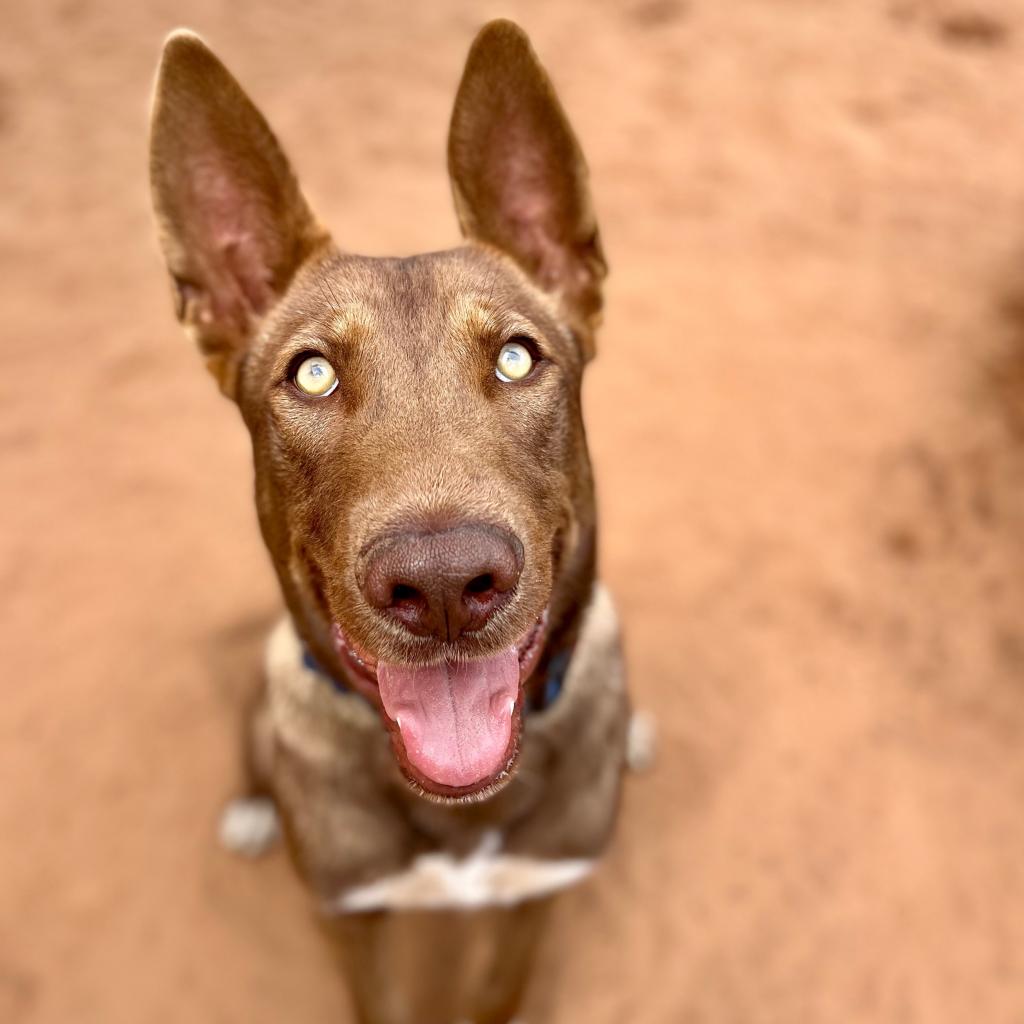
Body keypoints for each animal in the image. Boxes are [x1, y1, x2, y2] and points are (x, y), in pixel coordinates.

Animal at [149, 22, 638, 1024]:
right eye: (311, 376)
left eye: (519, 357)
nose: (446, 584)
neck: (460, 801)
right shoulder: (350, 921)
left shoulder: (535, 900)